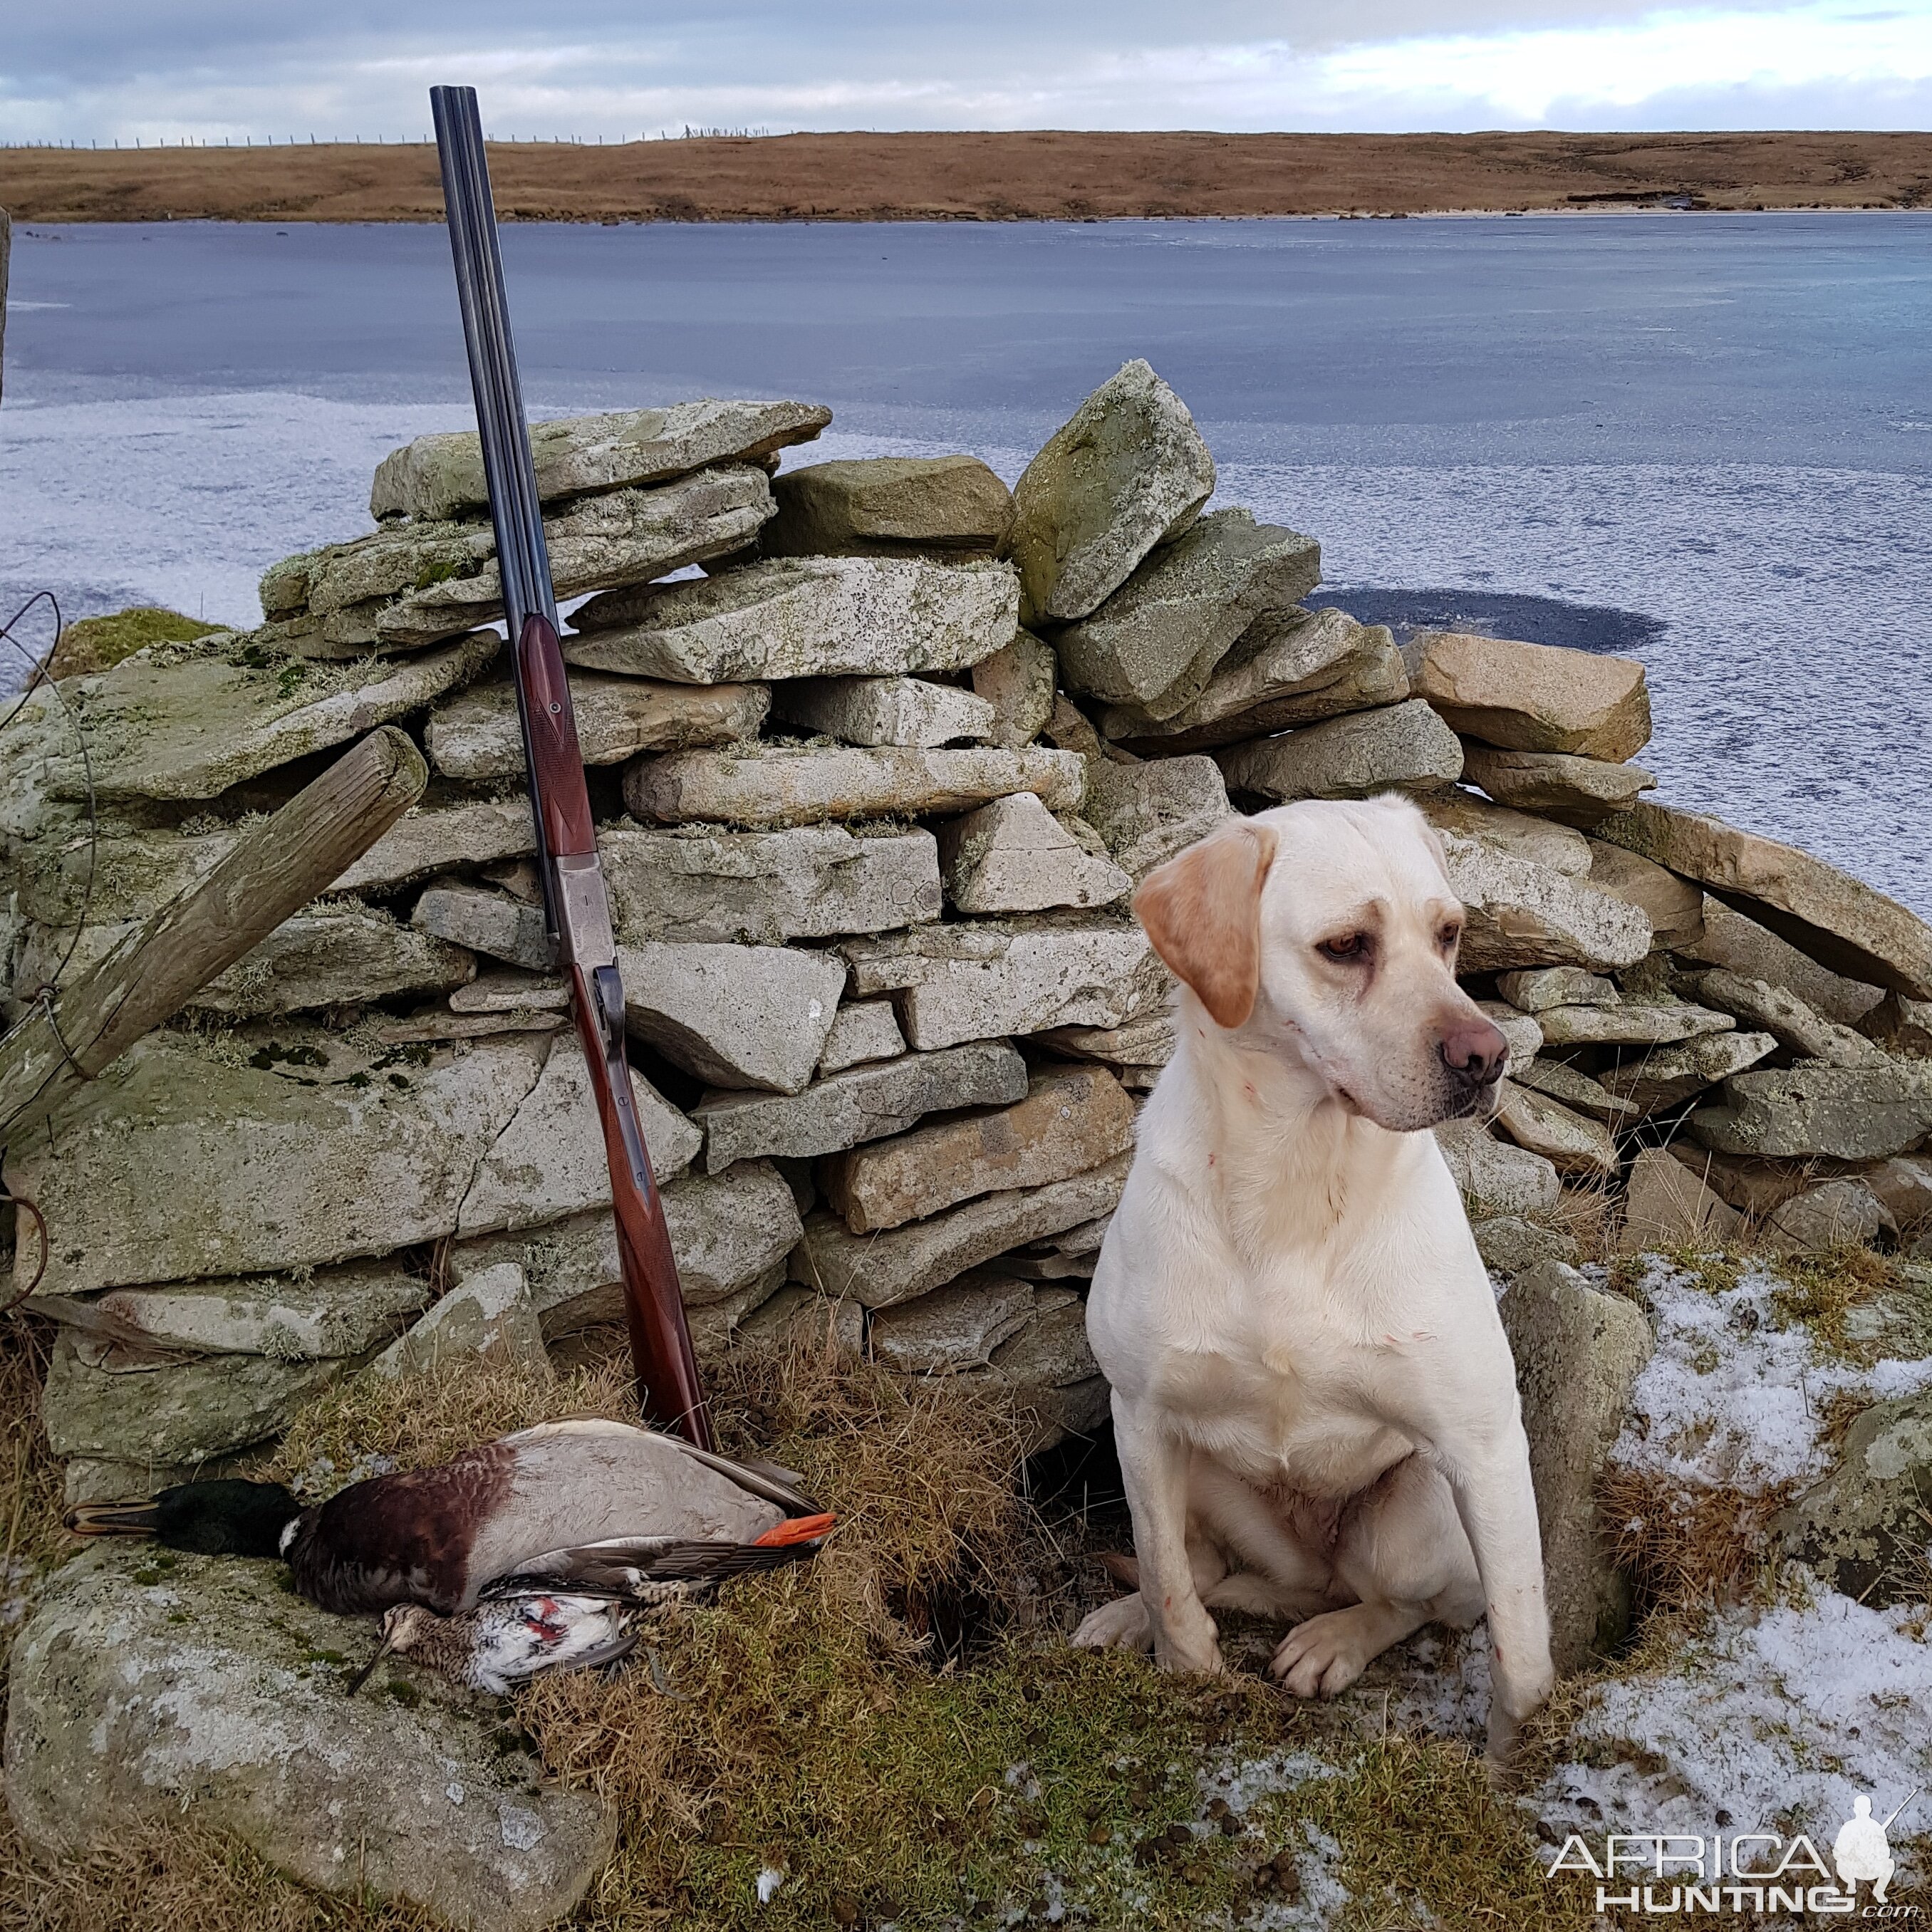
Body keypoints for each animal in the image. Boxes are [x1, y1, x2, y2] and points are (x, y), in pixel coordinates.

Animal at [1074, 788, 1553, 1770]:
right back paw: (1126, 1615)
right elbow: (1174, 1594)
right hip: (1191, 1473)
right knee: (1200, 1568)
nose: (1488, 1057)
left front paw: (1503, 1765)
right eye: (1346, 945)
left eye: (1448, 934)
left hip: (1412, 1521)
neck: (1296, 1179)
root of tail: (1310, 1572)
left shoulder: (1485, 1445)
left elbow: (1521, 1659)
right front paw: (1181, 1667)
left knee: (1405, 1601)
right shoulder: (1140, 1416)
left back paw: (1334, 1639)